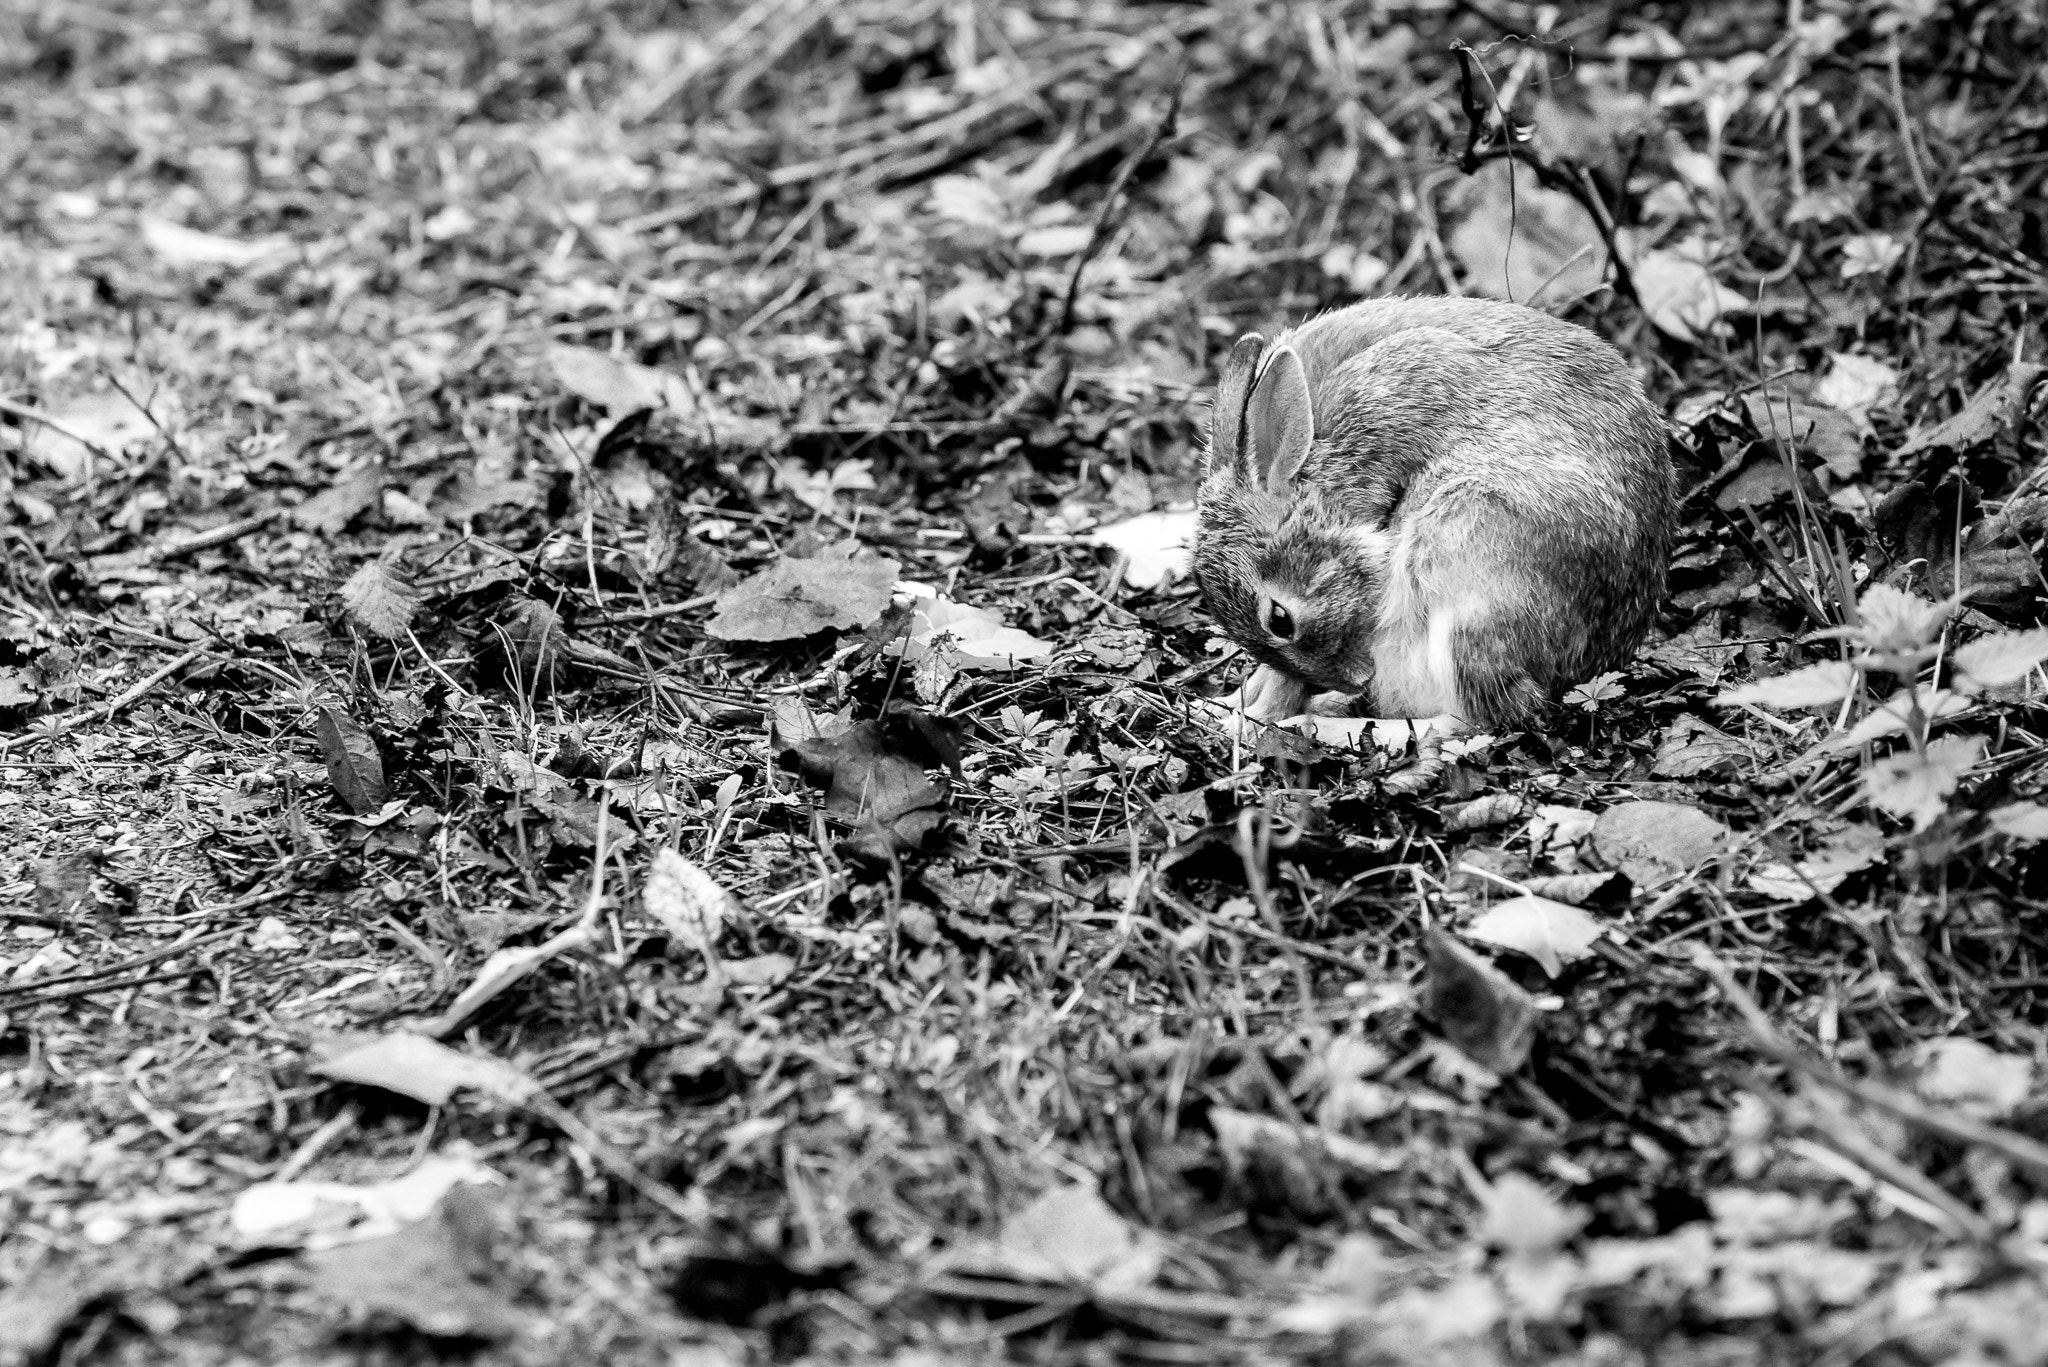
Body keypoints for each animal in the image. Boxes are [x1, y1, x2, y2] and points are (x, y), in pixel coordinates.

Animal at [1194, 295, 1673, 732]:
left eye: (1280, 620)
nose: (1355, 681)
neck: (1317, 464)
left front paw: (1257, 718)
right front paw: (1232, 706)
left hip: (1466, 566)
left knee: (1478, 718)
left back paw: (1320, 726)